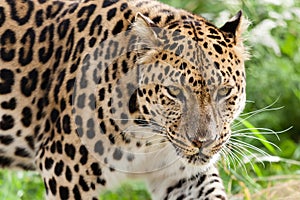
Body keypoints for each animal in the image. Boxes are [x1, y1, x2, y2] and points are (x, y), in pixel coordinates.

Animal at [0, 0, 248, 199]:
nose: (203, 142)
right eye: (174, 92)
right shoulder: (64, 171)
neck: (148, 136)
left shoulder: (183, 177)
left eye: (224, 91)